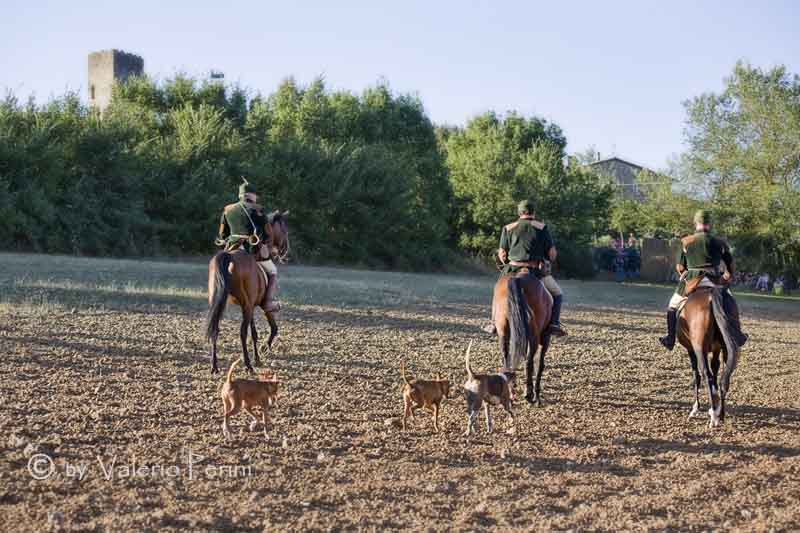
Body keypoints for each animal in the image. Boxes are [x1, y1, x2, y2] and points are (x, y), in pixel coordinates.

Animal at [206, 211, 290, 374]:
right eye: (284, 230)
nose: (285, 252)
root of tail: (229, 256)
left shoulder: (251, 305)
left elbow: (254, 333)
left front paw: (257, 357)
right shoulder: (259, 306)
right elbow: (272, 328)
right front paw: (262, 351)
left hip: (219, 302)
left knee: (215, 329)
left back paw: (214, 366)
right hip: (245, 305)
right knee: (242, 332)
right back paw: (247, 365)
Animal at [490, 272, 552, 406]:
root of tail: (517, 278)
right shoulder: (545, 339)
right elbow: (540, 365)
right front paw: (537, 395)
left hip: (503, 332)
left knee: (507, 357)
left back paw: (511, 390)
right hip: (534, 336)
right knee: (529, 361)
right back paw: (529, 394)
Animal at [676, 284, 736, 426]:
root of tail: (712, 293)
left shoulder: (691, 350)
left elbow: (696, 376)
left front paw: (695, 408)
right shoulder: (716, 349)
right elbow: (715, 371)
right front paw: (715, 400)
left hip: (699, 349)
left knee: (705, 374)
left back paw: (713, 416)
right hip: (725, 348)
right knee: (724, 378)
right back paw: (721, 415)